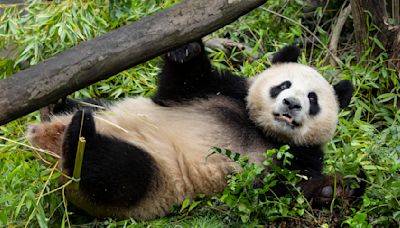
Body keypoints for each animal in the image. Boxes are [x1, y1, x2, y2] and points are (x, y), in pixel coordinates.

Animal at [27, 41, 360, 219]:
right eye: (283, 85)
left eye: (313, 99)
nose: (291, 104)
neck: (263, 131)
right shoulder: (223, 92)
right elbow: (181, 84)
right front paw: (186, 50)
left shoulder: (300, 158)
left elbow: (283, 193)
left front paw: (335, 189)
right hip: (106, 110)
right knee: (89, 110)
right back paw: (57, 108)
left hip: (155, 180)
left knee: (116, 172)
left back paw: (79, 138)